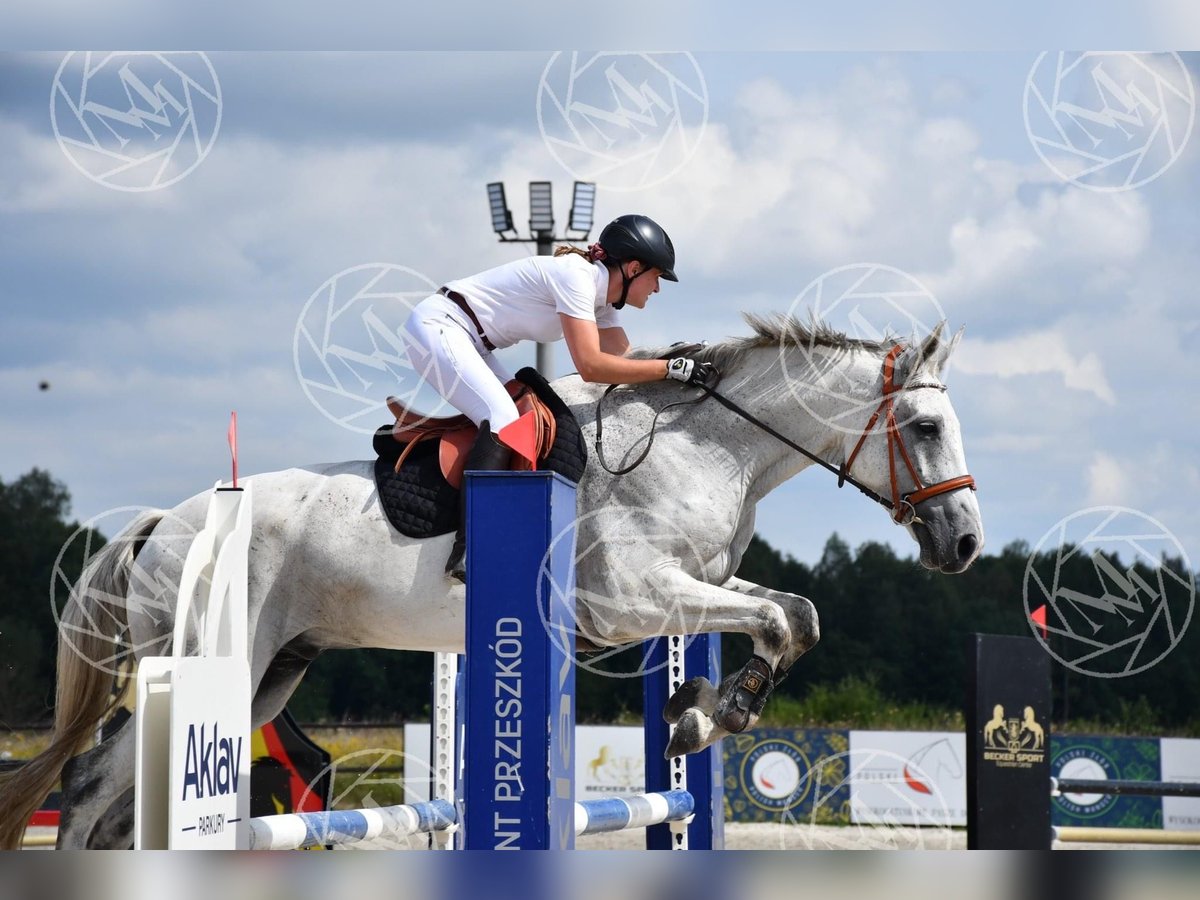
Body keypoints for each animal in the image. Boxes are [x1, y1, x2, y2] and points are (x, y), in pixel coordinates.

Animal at [0, 315, 983, 849]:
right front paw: (715, 714)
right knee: (90, 789)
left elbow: (790, 615)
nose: (966, 544)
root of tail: (163, 523)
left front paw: (696, 711)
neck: (711, 447)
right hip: (216, 658)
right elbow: (788, 621)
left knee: (111, 800)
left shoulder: (691, 589)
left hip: (271, 673)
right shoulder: (631, 598)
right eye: (927, 428)